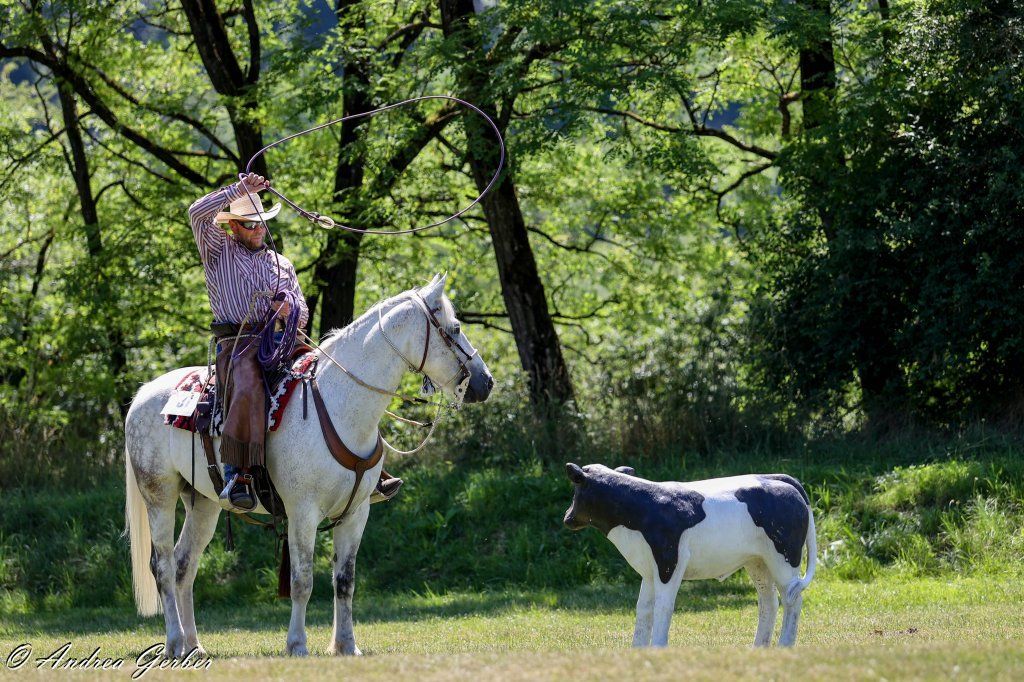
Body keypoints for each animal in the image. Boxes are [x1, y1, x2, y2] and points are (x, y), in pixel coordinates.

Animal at [124, 274, 493, 657]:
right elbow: (302, 580)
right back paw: (173, 641)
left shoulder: (356, 513)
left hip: (203, 503)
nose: (487, 382)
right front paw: (297, 644)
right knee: (163, 566)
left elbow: (345, 581)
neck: (339, 405)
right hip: (159, 495)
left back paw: (193, 646)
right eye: (455, 327)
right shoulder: (303, 512)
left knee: (185, 565)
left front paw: (346, 645)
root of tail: (143, 394)